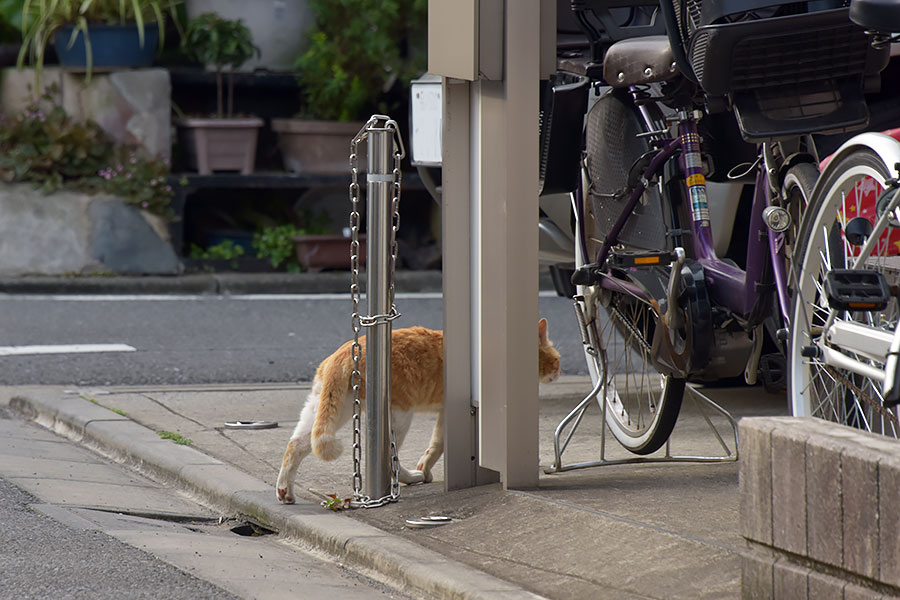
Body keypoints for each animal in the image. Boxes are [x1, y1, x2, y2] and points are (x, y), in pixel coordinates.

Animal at [274, 316, 560, 504]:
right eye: (557, 359)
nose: (558, 373)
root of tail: (344, 353)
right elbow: (439, 444)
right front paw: (424, 468)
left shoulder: (447, 411)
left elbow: (436, 443)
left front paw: (426, 466)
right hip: (399, 416)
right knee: (390, 458)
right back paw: (408, 478)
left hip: (329, 408)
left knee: (295, 444)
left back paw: (284, 491)